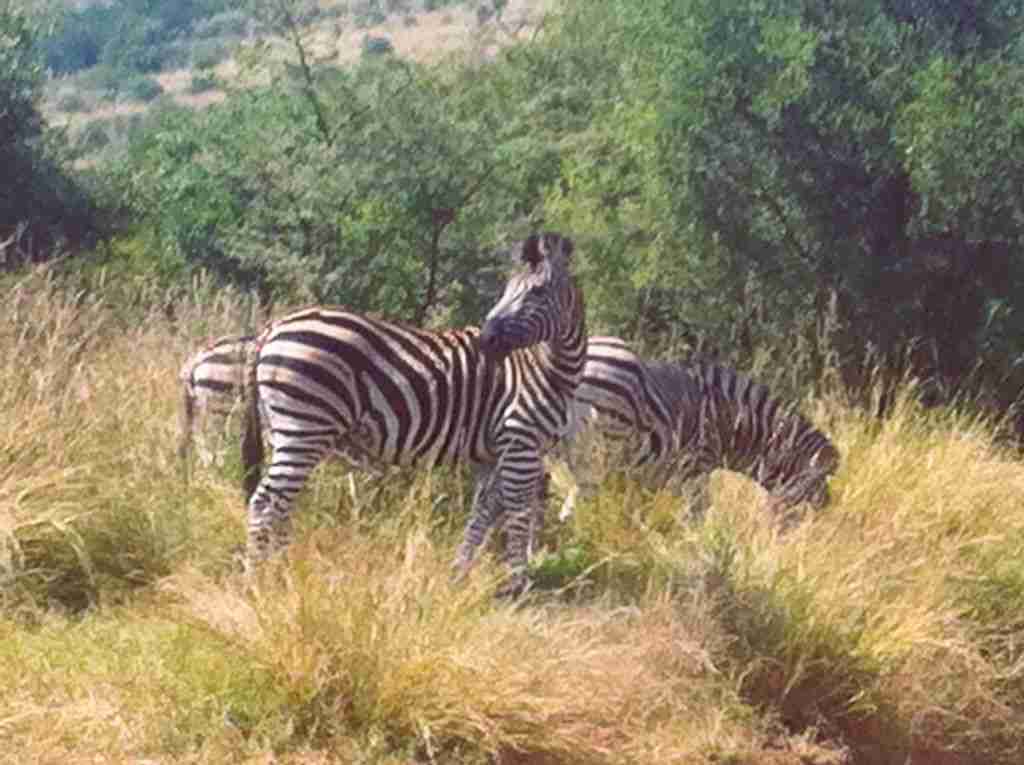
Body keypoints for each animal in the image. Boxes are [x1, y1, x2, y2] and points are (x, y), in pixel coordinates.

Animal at [239, 232, 585, 595]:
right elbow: (518, 512)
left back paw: (284, 575)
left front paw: (459, 573)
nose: (487, 340)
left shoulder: (495, 453)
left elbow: (483, 512)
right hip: (303, 429)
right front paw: (518, 584)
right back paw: (259, 583)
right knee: (266, 503)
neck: (547, 369)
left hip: (284, 431)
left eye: (537, 292)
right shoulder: (521, 442)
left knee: (280, 504)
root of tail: (274, 326)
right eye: (507, 290)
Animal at [558, 337, 839, 524]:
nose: (824, 514)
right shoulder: (696, 471)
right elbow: (698, 517)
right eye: (816, 483)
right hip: (596, 452)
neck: (730, 422)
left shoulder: (646, 478)